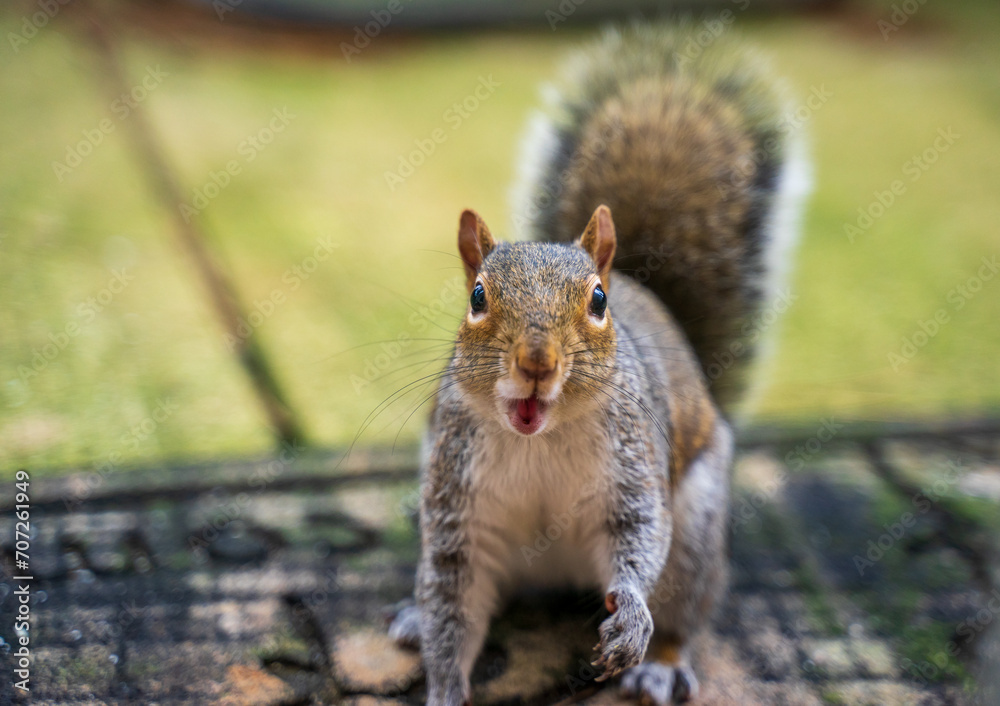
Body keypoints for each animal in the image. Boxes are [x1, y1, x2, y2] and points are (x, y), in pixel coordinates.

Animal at [388, 24, 809, 706]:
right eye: (477, 297)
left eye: (597, 301)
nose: (536, 361)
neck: (536, 440)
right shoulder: (456, 508)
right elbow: (450, 605)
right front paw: (445, 685)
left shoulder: (634, 469)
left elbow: (640, 538)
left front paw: (632, 616)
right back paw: (410, 615)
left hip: (698, 532)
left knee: (682, 608)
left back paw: (659, 662)